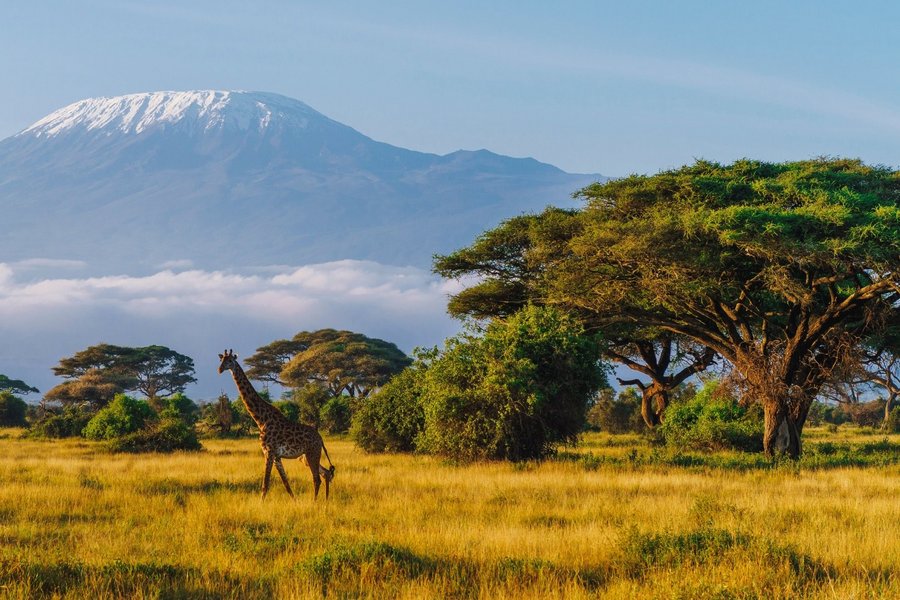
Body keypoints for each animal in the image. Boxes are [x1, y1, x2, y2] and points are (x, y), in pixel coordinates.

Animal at [217, 349, 335, 500]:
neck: (261, 419)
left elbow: (265, 484)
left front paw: (261, 504)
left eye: (230, 361)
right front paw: (295, 501)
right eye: (221, 360)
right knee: (326, 472)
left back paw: (314, 502)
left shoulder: (269, 452)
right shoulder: (277, 456)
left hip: (312, 453)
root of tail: (320, 438)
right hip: (306, 457)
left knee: (317, 478)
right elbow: (286, 484)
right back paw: (325, 500)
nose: (220, 369)